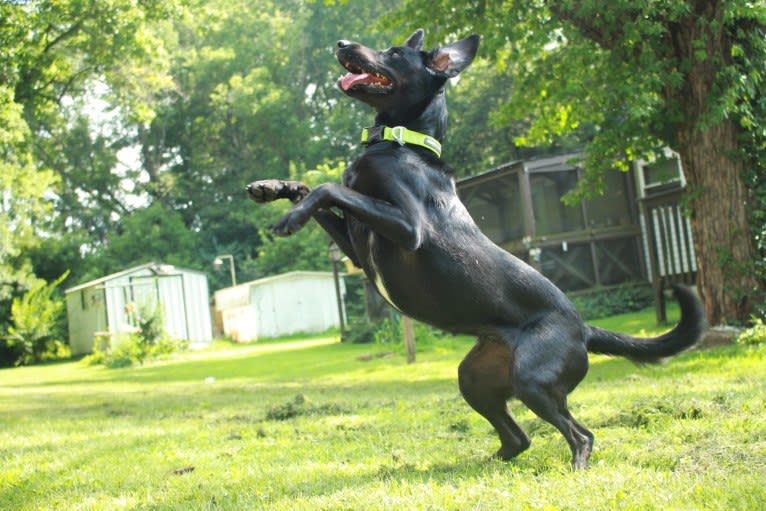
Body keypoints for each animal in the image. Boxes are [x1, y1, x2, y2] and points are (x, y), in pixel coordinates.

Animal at [248, 30, 708, 470]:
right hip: (473, 378)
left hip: (532, 380)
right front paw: (271, 187)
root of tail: (584, 329)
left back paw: (576, 467)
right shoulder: (359, 250)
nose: (342, 43)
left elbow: (329, 188)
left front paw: (290, 217)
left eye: (394, 53)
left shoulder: (408, 226)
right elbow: (313, 188)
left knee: (581, 434)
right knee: (519, 438)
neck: (403, 144)